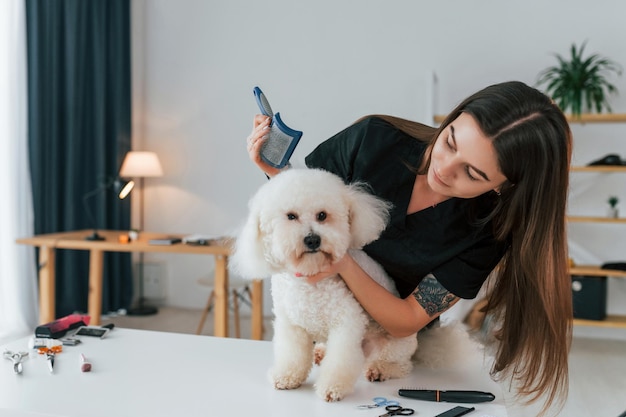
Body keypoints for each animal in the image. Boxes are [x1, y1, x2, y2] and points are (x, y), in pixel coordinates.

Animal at [232, 167, 416, 402]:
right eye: (291, 216)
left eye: (322, 215)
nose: (312, 239)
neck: (310, 281)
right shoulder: (291, 324)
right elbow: (292, 355)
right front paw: (287, 377)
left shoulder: (347, 323)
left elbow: (340, 361)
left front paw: (332, 387)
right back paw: (320, 352)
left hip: (394, 345)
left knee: (401, 365)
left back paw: (380, 369)